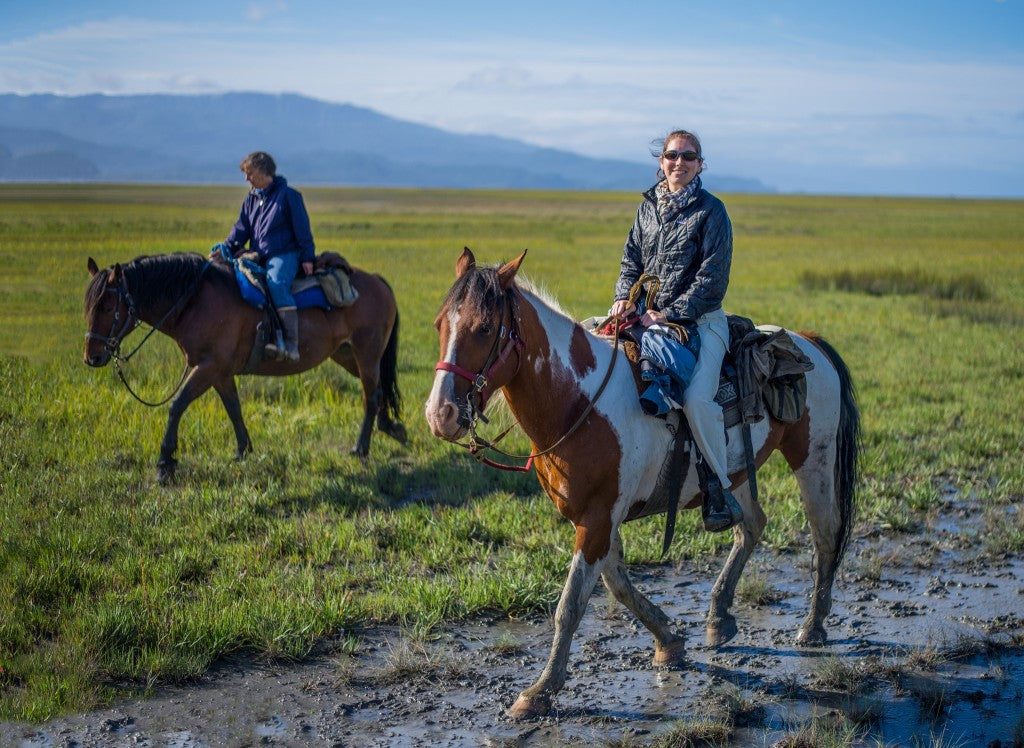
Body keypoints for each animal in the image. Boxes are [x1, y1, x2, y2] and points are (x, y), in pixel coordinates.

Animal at [84, 253, 403, 481]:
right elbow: (233, 408)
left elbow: (177, 405)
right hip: (348, 356)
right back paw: (392, 428)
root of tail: (377, 281)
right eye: (88, 306)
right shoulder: (221, 372)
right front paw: (243, 451)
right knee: (379, 390)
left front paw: (165, 463)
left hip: (367, 353)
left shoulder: (208, 366)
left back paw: (361, 448)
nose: (92, 357)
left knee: (371, 396)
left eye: (107, 305)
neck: (194, 302)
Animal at [425, 248, 864, 717]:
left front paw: (540, 690)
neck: (579, 401)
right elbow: (618, 586)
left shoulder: (598, 519)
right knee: (750, 526)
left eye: (484, 328)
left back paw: (812, 625)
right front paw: (669, 643)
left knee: (824, 533)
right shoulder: (597, 518)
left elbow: (571, 605)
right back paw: (719, 618)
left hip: (813, 458)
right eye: (439, 324)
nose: (440, 414)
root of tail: (807, 340)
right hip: (735, 472)